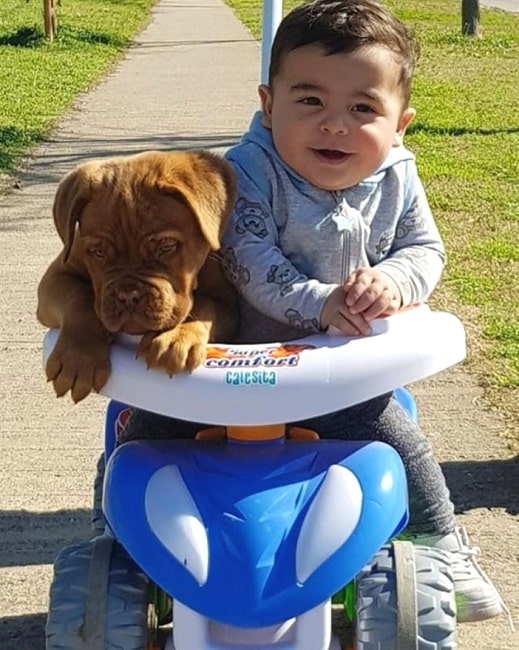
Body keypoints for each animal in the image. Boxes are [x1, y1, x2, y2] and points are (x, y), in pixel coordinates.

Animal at [38, 149, 238, 400]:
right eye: (98, 252)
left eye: (166, 246)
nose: (128, 296)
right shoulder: (55, 277)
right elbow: (80, 298)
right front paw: (78, 358)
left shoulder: (228, 303)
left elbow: (203, 306)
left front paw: (176, 337)